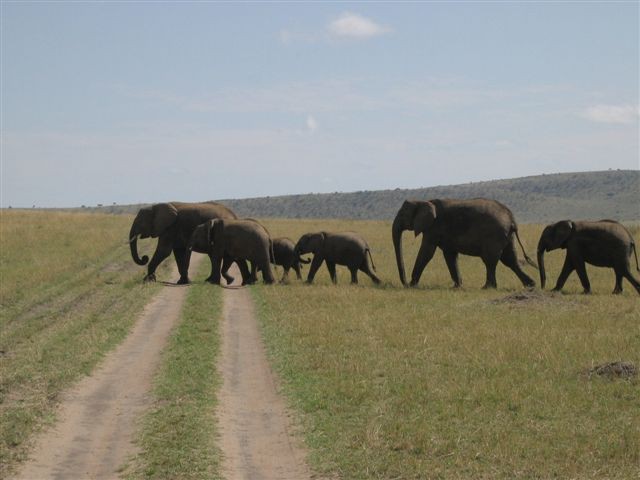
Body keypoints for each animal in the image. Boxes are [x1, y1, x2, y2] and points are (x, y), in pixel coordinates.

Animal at [392, 199, 536, 288]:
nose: (405, 283)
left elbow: (427, 252)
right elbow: (450, 255)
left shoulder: (433, 228)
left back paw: (487, 287)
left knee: (490, 261)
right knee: (510, 260)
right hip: (506, 236)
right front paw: (457, 286)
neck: (423, 201)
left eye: (403, 215)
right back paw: (530, 285)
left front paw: (413, 285)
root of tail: (512, 219)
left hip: (494, 235)